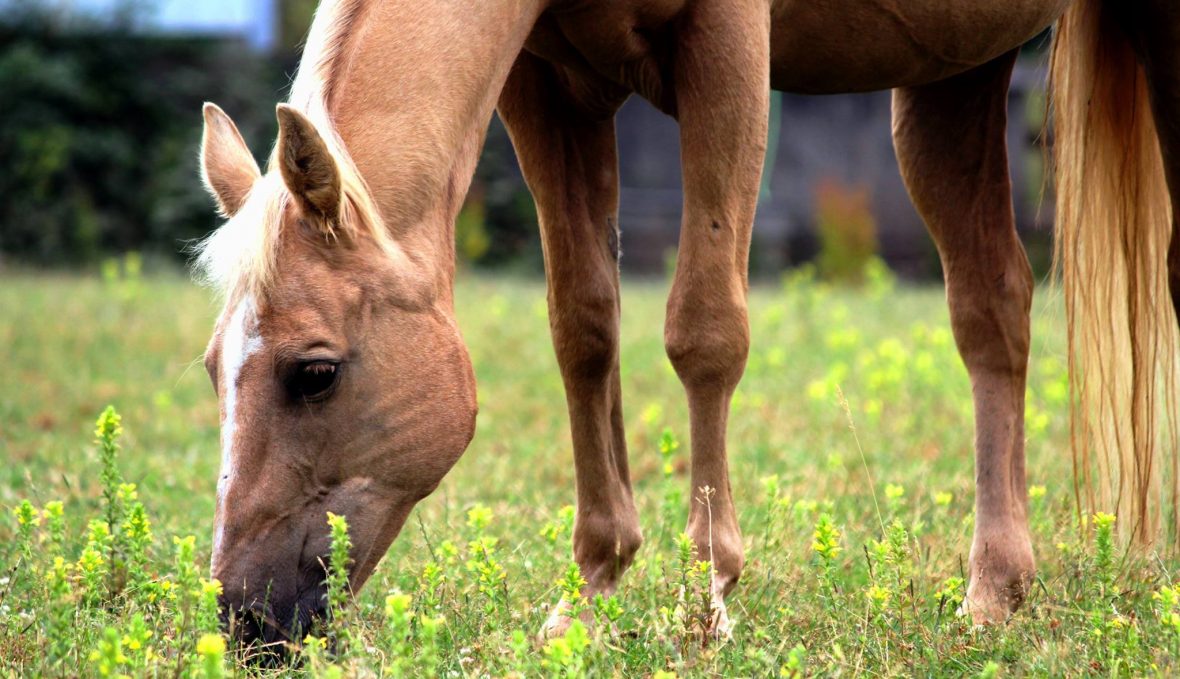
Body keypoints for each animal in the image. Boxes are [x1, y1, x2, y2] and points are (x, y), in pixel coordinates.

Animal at [195, 0, 1179, 646]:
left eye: (315, 371)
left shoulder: (726, 44)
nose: (243, 620)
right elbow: (583, 326)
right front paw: (590, 592)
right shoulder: (550, 85)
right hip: (950, 74)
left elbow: (704, 329)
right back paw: (992, 594)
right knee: (992, 308)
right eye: (212, 370)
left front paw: (705, 600)